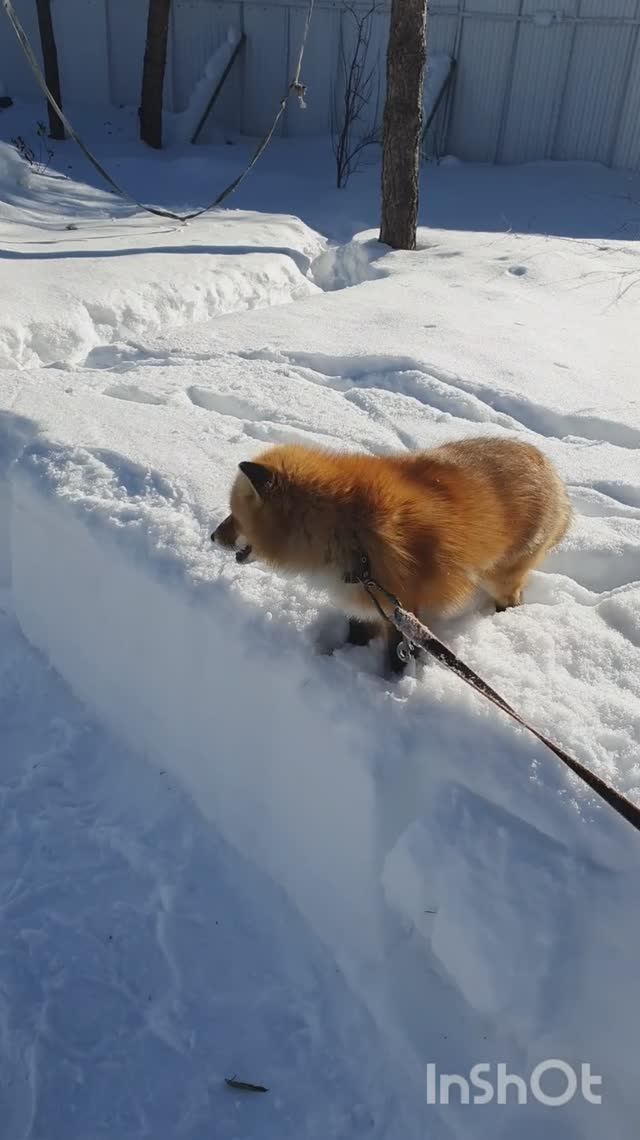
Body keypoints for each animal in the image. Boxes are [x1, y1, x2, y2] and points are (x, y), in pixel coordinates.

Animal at [211, 437, 572, 675]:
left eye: (234, 517)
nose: (212, 537)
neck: (350, 531)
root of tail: (545, 463)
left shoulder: (403, 610)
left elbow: (396, 659)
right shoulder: (365, 596)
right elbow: (355, 634)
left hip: (501, 579)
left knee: (513, 599)